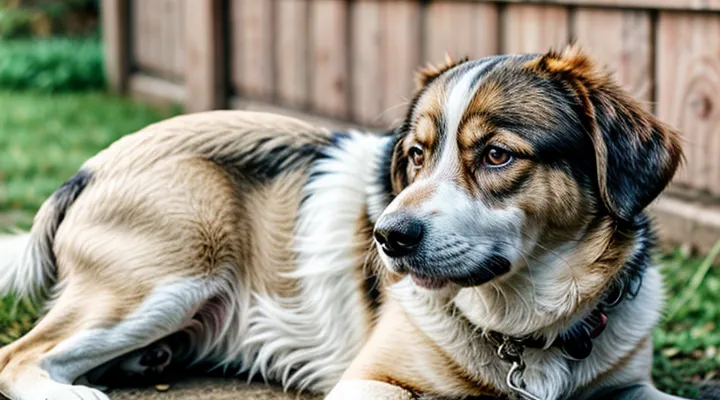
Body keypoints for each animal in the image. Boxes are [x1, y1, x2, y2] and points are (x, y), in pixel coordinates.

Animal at [0, 45, 688, 398]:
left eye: (497, 155)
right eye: (416, 154)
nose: (388, 238)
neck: (529, 327)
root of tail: (92, 166)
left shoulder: (630, 388)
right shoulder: (370, 381)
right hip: (166, 278)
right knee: (21, 357)